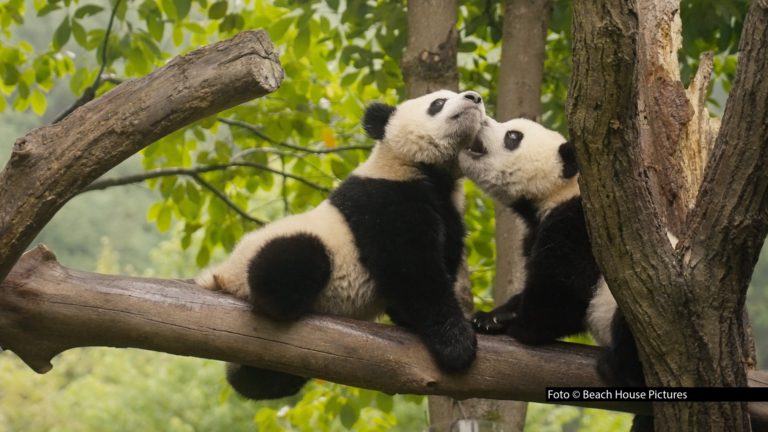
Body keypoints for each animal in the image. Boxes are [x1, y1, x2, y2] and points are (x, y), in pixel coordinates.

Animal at [197, 89, 486, 399]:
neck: (424, 169)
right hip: (281, 250)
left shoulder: (450, 211)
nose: (475, 97)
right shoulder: (384, 199)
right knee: (294, 258)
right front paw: (457, 345)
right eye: (438, 103)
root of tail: (218, 277)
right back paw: (283, 301)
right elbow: (413, 270)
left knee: (259, 379)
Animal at [458, 117, 649, 387]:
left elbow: (564, 289)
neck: (558, 193)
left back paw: (616, 368)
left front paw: (515, 324)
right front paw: (489, 316)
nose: (482, 119)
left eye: (513, 136)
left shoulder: (580, 226)